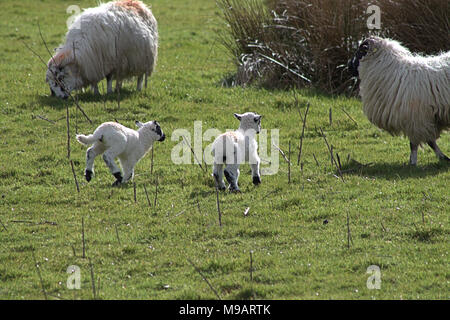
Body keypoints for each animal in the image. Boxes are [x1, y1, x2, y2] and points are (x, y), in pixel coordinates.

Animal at [348, 36, 450, 164]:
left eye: (360, 51)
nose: (348, 66)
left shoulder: (417, 120)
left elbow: (417, 144)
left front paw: (413, 163)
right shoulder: (422, 120)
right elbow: (429, 141)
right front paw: (443, 158)